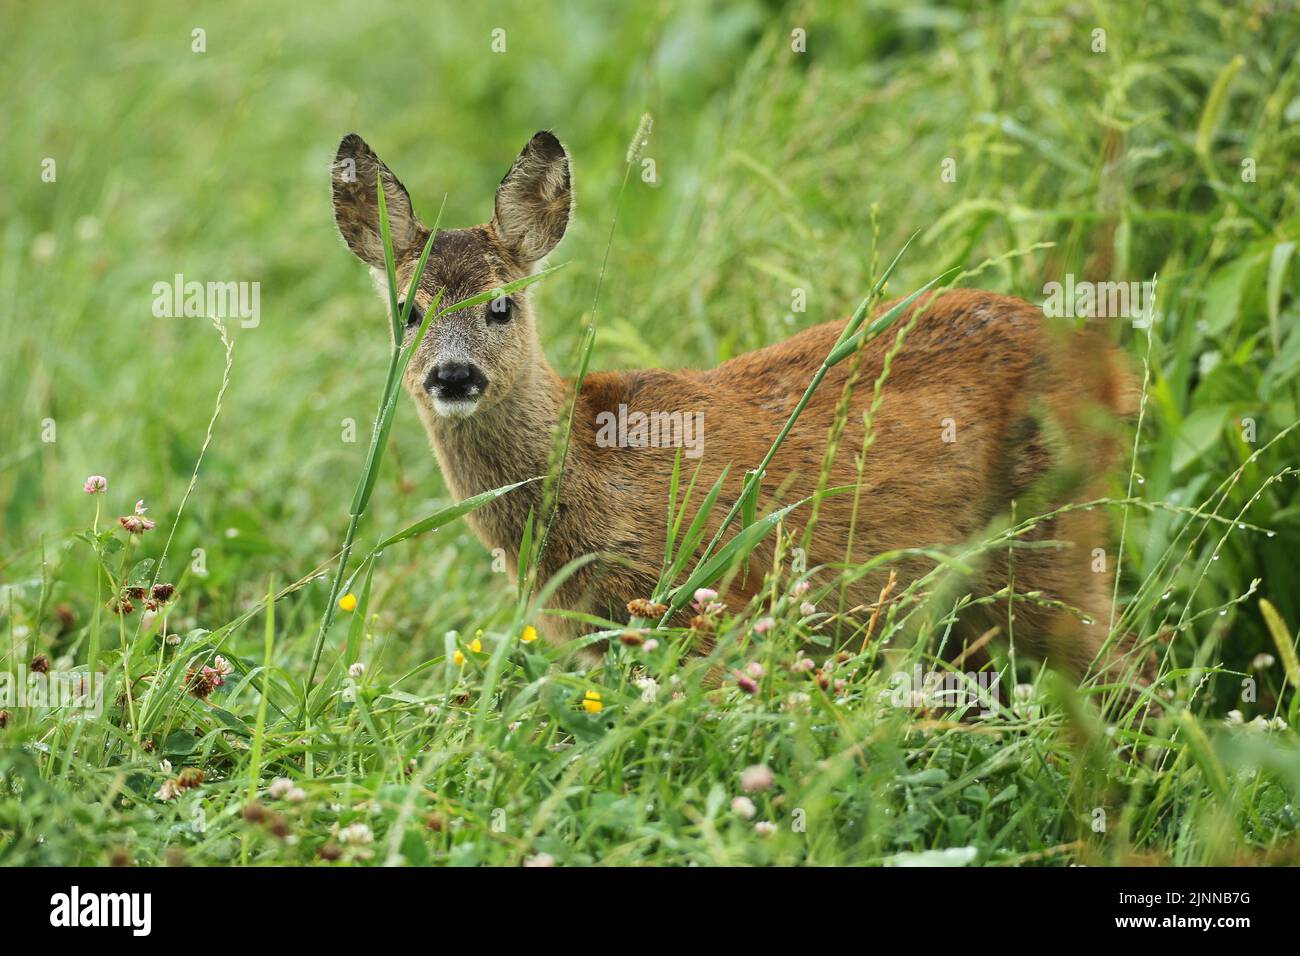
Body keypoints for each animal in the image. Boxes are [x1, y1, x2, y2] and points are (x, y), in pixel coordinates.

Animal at [330, 129, 1153, 698]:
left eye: (501, 305)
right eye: (407, 312)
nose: (453, 374)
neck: (594, 474)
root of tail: (1112, 371)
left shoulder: (707, 601)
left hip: (1049, 539)